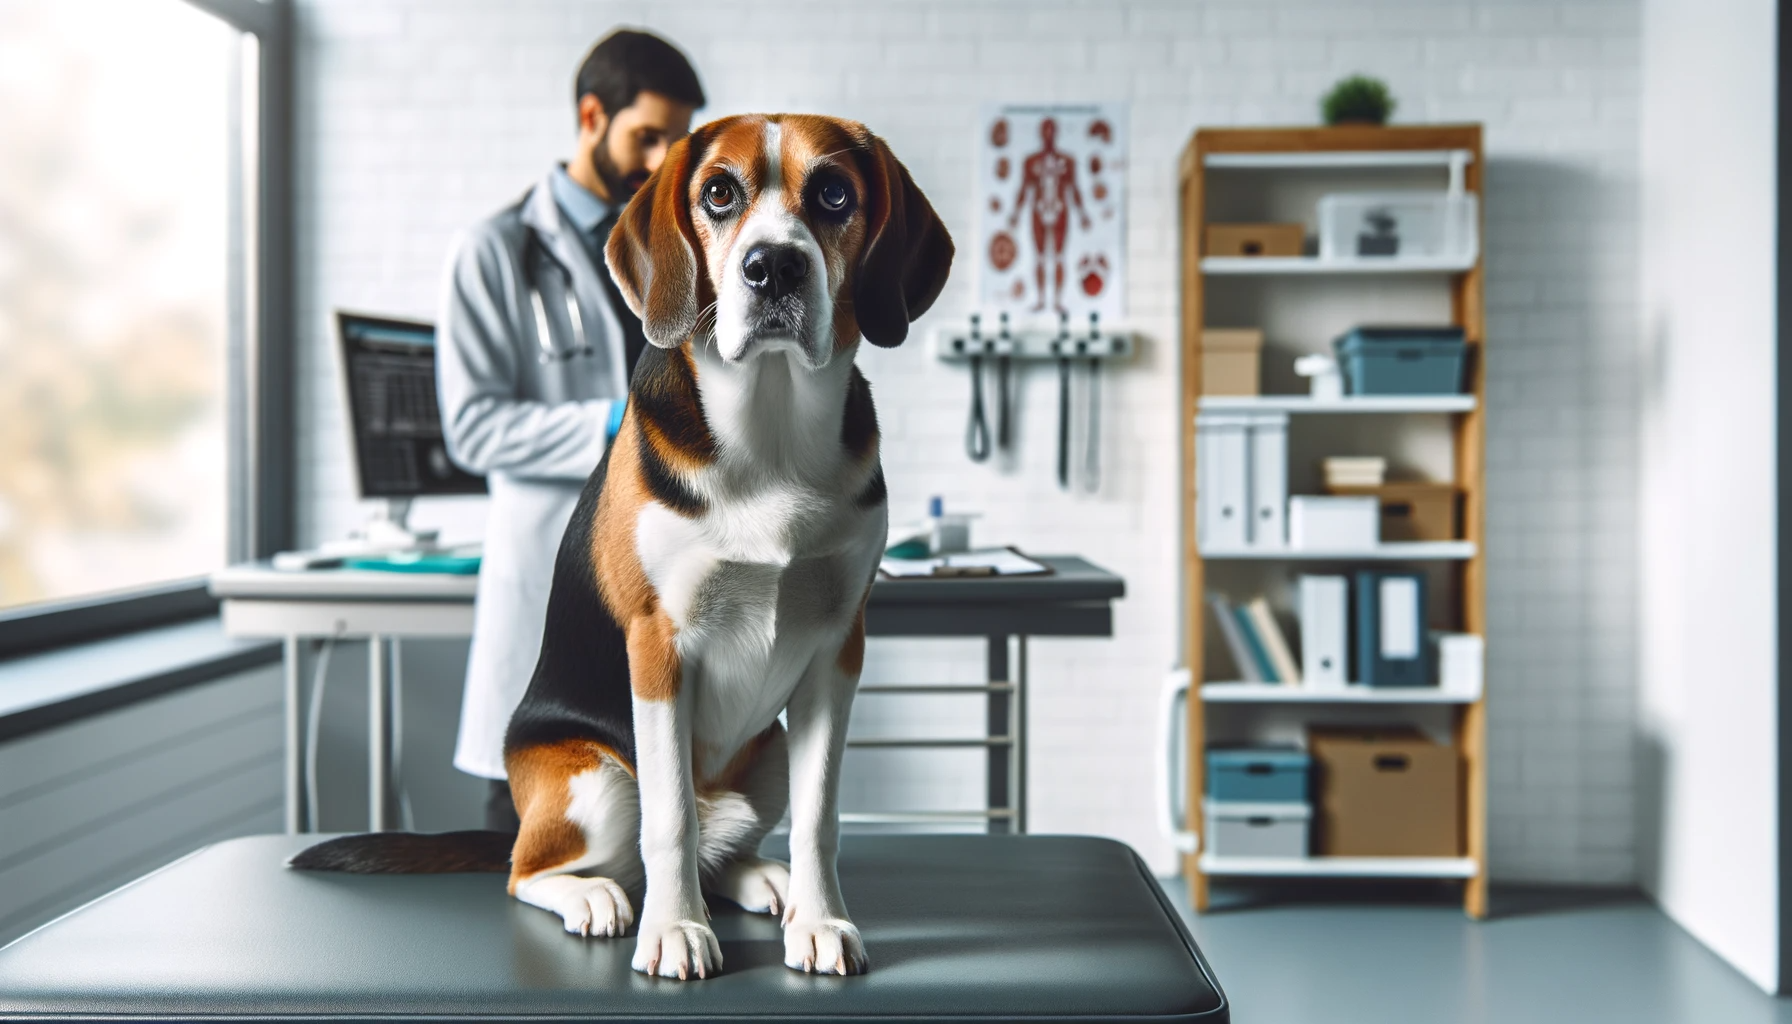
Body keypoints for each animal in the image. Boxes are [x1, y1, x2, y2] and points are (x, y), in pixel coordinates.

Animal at [292, 114, 960, 982]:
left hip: (769, 755)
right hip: (592, 782)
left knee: (720, 840)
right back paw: (593, 897)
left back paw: (760, 879)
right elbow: (669, 816)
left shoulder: (838, 652)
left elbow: (822, 816)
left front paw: (819, 922)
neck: (771, 429)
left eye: (835, 194)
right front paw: (674, 931)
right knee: (538, 867)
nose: (772, 266)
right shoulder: (658, 645)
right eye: (719, 192)